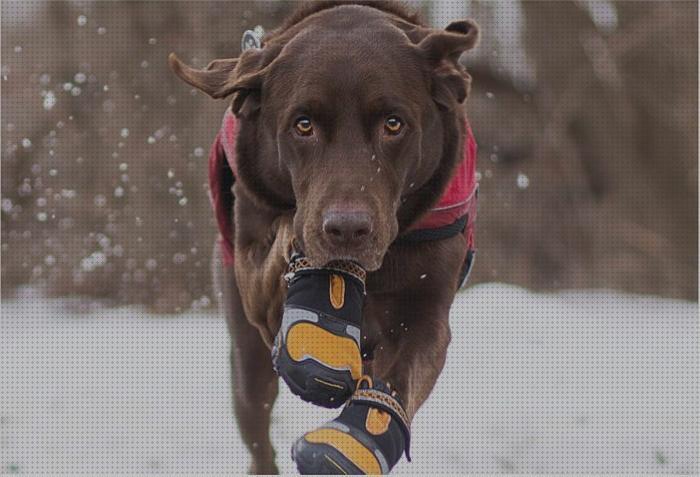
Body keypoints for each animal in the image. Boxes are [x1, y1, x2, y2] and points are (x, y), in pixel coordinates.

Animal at [170, 0, 478, 472]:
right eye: (303, 124)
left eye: (393, 124)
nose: (347, 228)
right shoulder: (253, 274)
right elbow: (283, 244)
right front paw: (321, 314)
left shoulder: (426, 313)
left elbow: (401, 374)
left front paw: (351, 443)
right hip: (245, 355)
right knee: (257, 427)